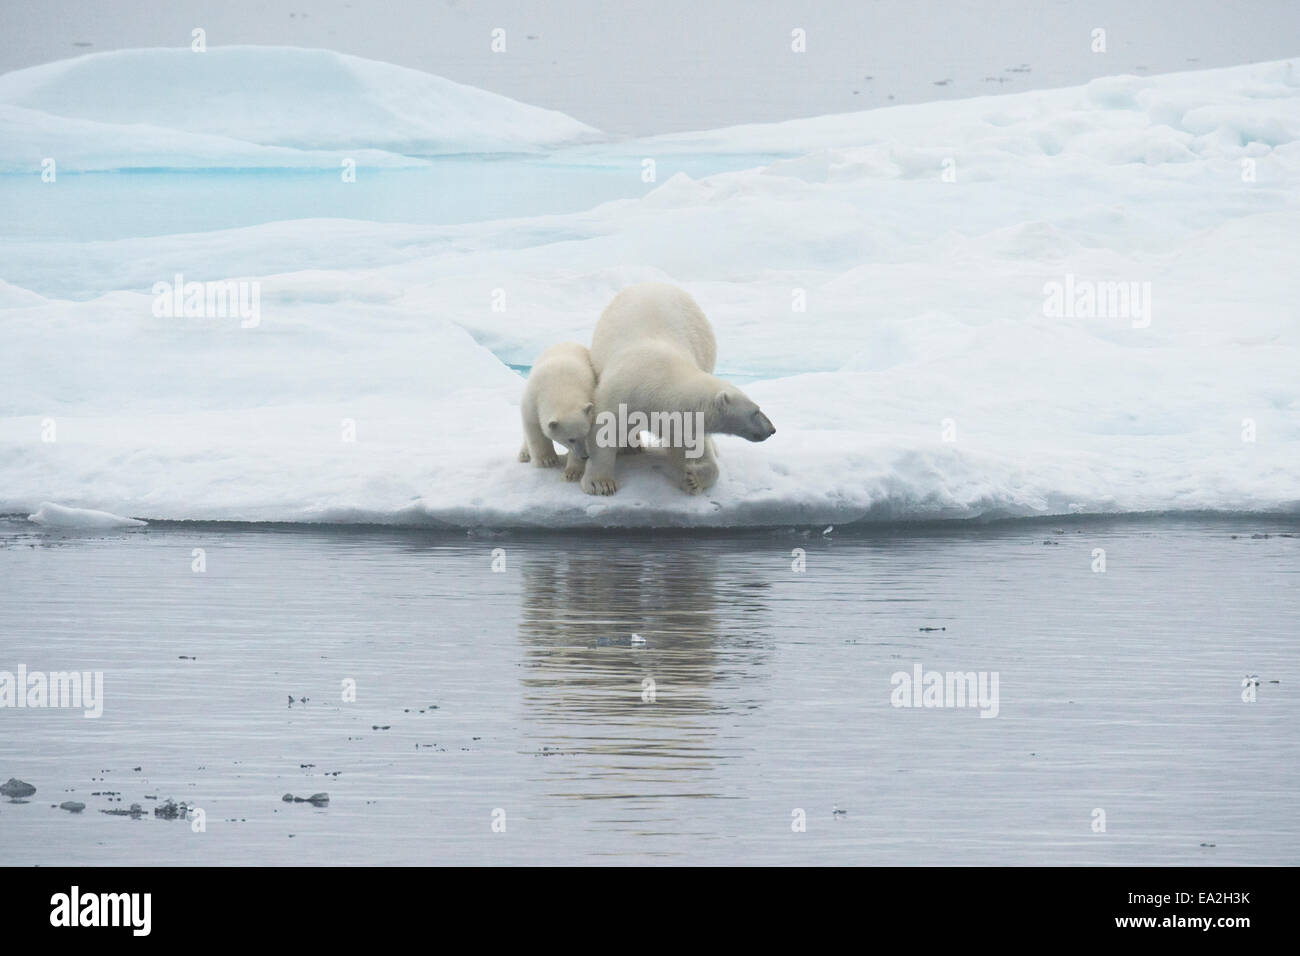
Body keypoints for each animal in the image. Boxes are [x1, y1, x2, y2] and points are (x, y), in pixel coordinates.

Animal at [585, 280, 774, 496]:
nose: (772, 429)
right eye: (755, 411)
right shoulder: (621, 392)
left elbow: (691, 445)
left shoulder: (679, 417)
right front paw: (601, 483)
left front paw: (693, 478)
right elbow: (605, 428)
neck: (659, 380)